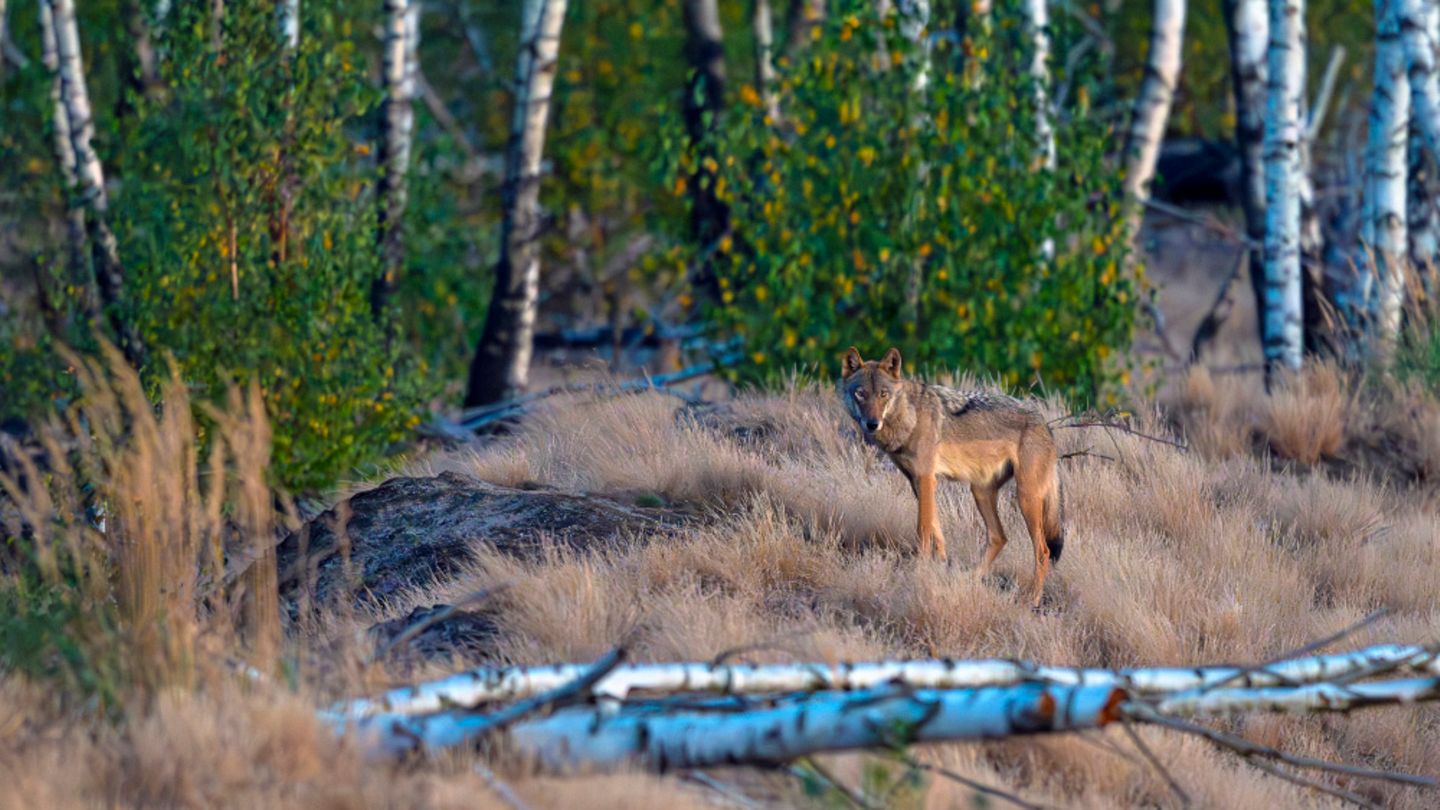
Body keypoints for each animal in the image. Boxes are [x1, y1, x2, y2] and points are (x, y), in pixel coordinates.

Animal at [840, 346, 1064, 607]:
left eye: (883, 394)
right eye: (860, 394)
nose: (872, 424)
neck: (909, 417)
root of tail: (1045, 423)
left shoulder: (926, 479)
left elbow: (923, 531)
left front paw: (919, 573)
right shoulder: (917, 482)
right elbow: (937, 531)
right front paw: (940, 567)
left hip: (1025, 498)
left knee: (1043, 551)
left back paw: (1032, 599)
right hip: (981, 492)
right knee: (999, 537)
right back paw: (971, 581)